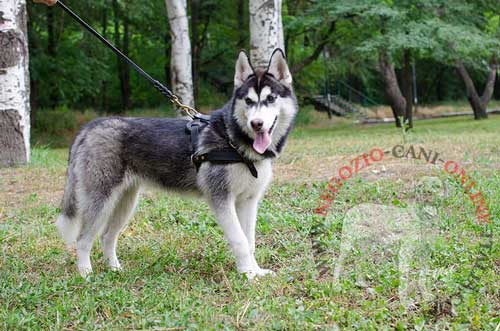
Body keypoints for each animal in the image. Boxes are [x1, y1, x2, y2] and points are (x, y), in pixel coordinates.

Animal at [55, 49, 296, 280]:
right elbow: (240, 241)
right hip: (101, 200)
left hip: (125, 202)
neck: (233, 140)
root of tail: (90, 126)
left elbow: (250, 241)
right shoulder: (221, 199)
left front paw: (257, 271)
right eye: (248, 101)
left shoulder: (248, 201)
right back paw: (86, 275)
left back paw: (115, 269)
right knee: (83, 239)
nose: (257, 124)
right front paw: (247, 275)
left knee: (106, 236)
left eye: (271, 98)